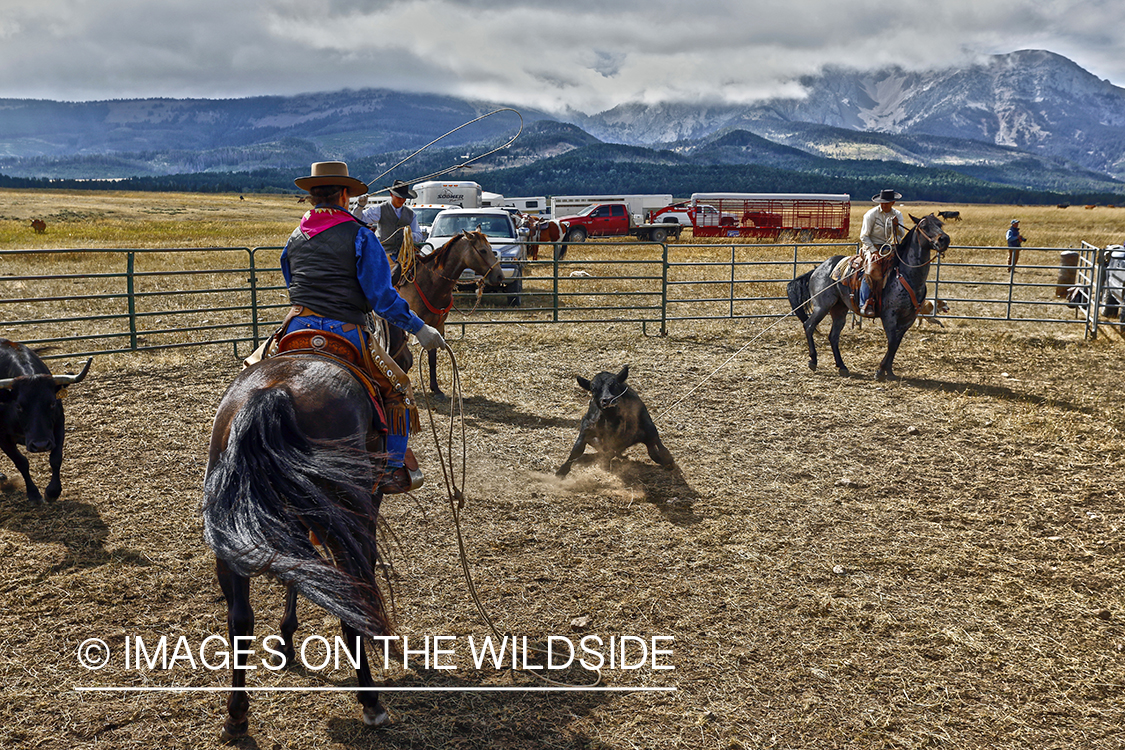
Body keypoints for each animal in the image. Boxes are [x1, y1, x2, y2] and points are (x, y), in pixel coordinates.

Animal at [0, 339, 91, 503]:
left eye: (52, 403)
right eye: (19, 406)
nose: (40, 445)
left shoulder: (58, 424)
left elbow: (55, 458)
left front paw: (53, 491)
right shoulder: (3, 438)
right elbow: (21, 462)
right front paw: (33, 493)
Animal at [203, 353, 396, 737]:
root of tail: (274, 393)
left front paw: (286, 640)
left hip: (229, 537)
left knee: (240, 620)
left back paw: (236, 716)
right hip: (347, 523)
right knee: (350, 600)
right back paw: (371, 702)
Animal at [393, 229, 504, 398]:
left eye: (491, 248)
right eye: (483, 250)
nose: (499, 276)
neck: (431, 282)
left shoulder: (436, 326)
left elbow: (432, 358)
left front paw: (436, 389)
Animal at [787, 215, 954, 382]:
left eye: (939, 224)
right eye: (924, 226)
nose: (944, 239)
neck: (906, 275)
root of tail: (818, 269)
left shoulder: (909, 319)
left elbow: (896, 344)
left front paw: (889, 372)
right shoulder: (889, 316)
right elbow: (892, 342)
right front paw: (880, 371)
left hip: (839, 309)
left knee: (833, 336)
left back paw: (842, 367)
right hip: (822, 306)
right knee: (809, 325)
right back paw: (813, 361)